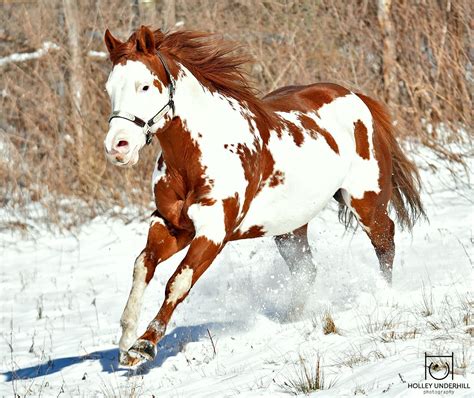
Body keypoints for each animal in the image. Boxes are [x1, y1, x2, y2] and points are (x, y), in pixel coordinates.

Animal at [102, 26, 424, 366]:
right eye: (110, 88)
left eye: (144, 85)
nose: (117, 146)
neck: (197, 155)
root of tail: (357, 98)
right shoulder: (172, 225)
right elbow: (142, 266)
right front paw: (125, 342)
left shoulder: (213, 233)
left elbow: (178, 282)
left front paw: (145, 344)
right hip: (290, 228)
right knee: (307, 270)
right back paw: (294, 316)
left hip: (366, 201)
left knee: (384, 241)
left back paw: (382, 293)